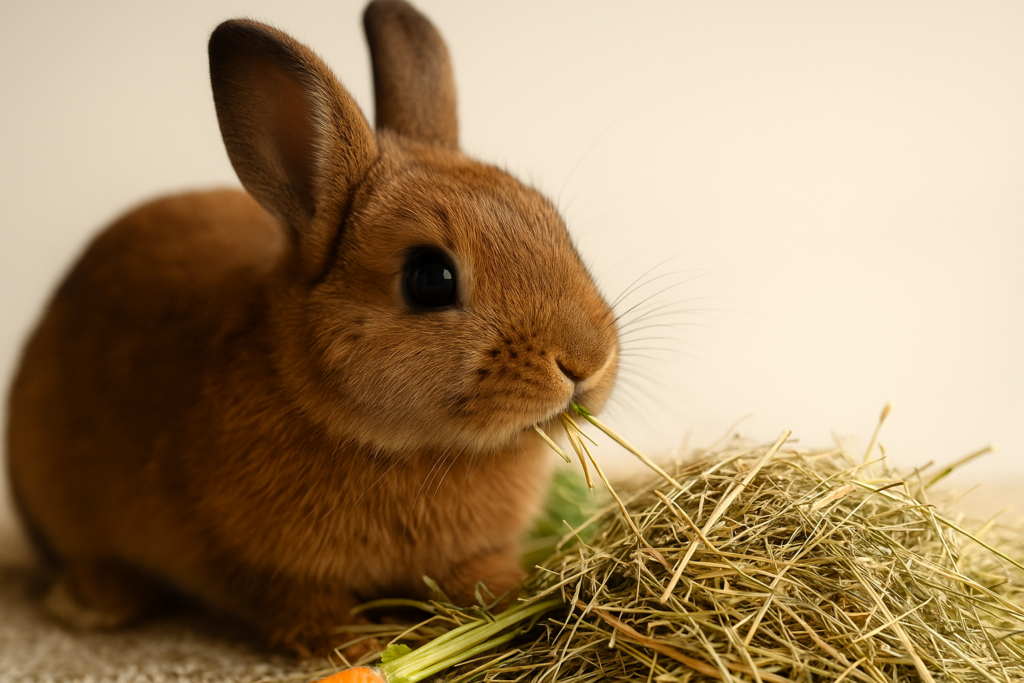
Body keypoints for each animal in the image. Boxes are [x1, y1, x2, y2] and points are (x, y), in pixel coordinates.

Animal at [5, 0, 618, 657]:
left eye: (552, 220)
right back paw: (95, 601)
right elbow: (305, 605)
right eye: (430, 278)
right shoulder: (259, 564)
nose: (587, 363)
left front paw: (515, 599)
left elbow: (481, 577)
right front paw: (359, 647)